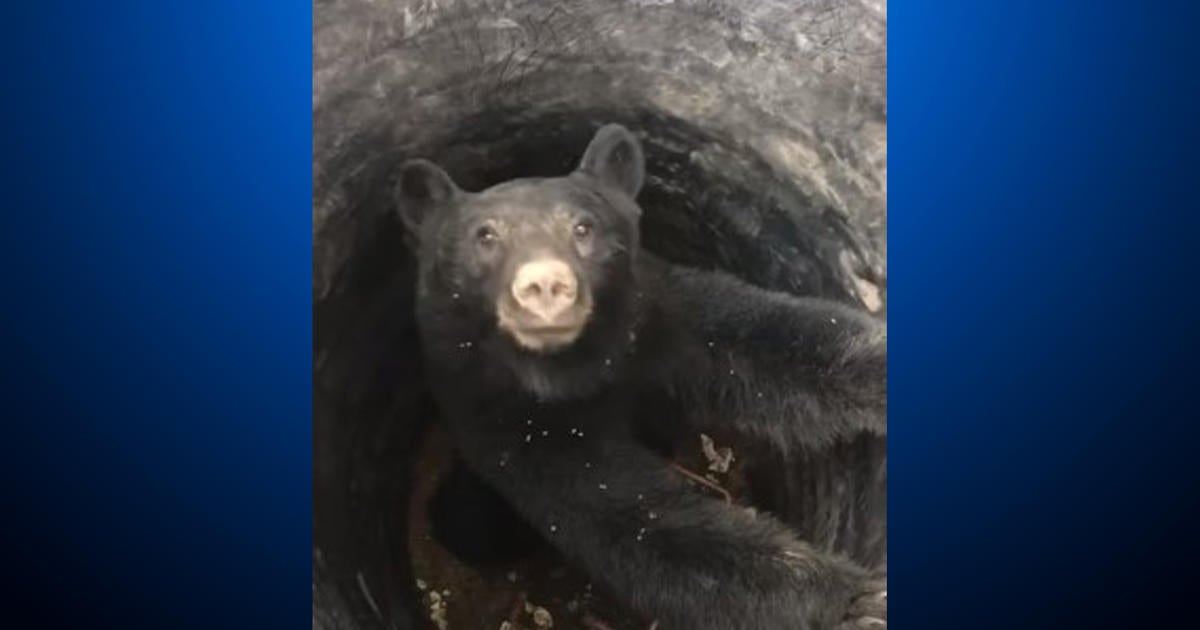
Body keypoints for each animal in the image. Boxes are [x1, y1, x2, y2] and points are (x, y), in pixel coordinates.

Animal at [398, 124, 888, 628]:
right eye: (486, 235)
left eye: (583, 227)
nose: (545, 284)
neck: (569, 369)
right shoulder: (504, 417)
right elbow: (629, 516)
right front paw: (851, 600)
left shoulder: (659, 319)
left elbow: (771, 342)